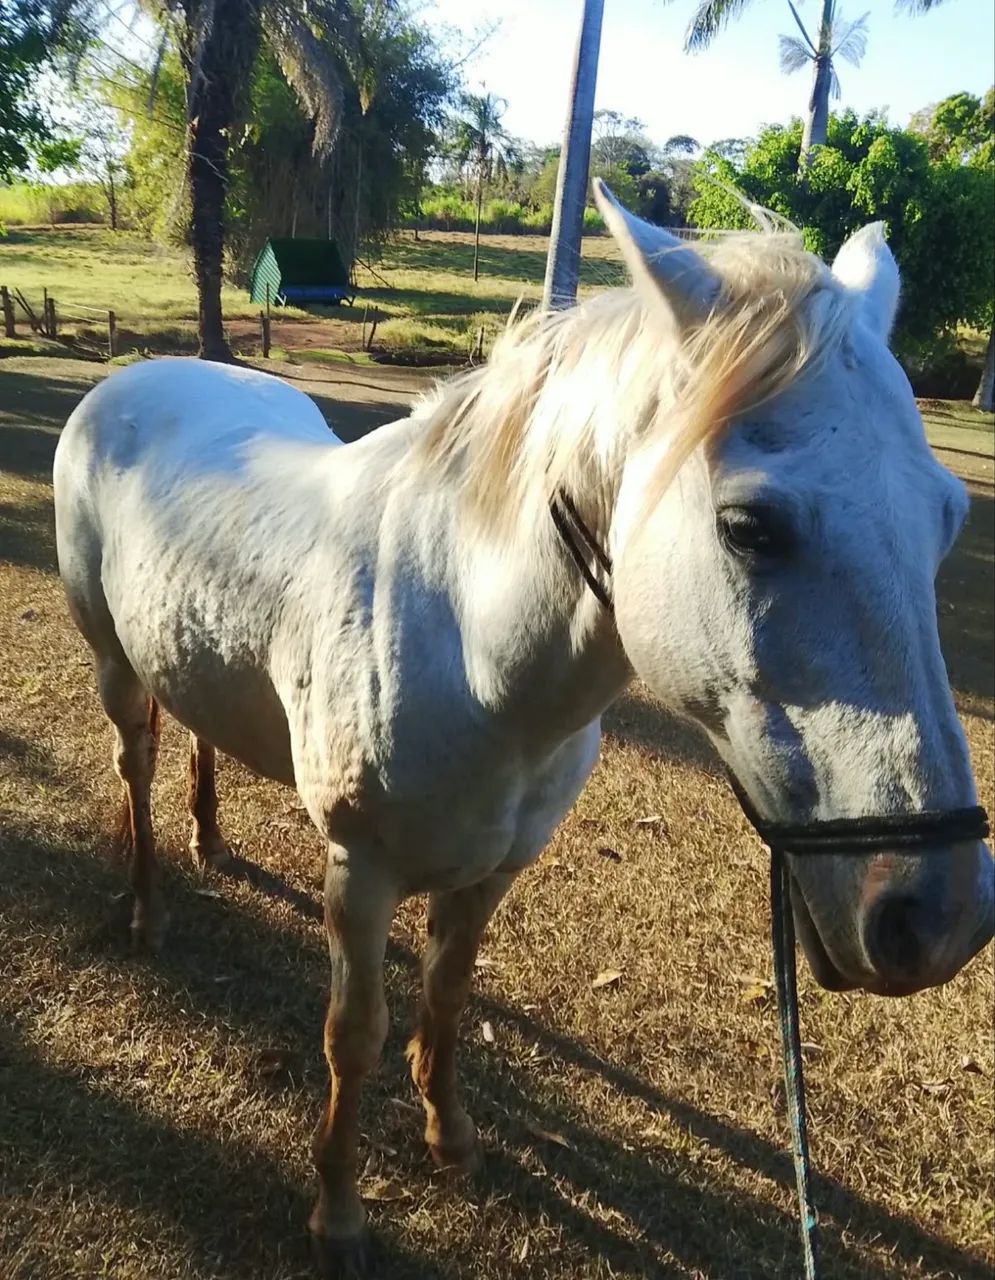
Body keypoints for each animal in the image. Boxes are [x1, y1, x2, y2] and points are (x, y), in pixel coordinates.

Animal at [53, 181, 994, 1274]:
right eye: (749, 527)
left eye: (943, 517)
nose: (934, 915)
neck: (470, 646)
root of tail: (140, 380)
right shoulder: (360, 874)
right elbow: (353, 1034)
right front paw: (338, 1210)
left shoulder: (492, 871)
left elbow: (447, 996)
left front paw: (450, 1137)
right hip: (114, 669)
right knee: (136, 762)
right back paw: (148, 907)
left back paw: (208, 838)